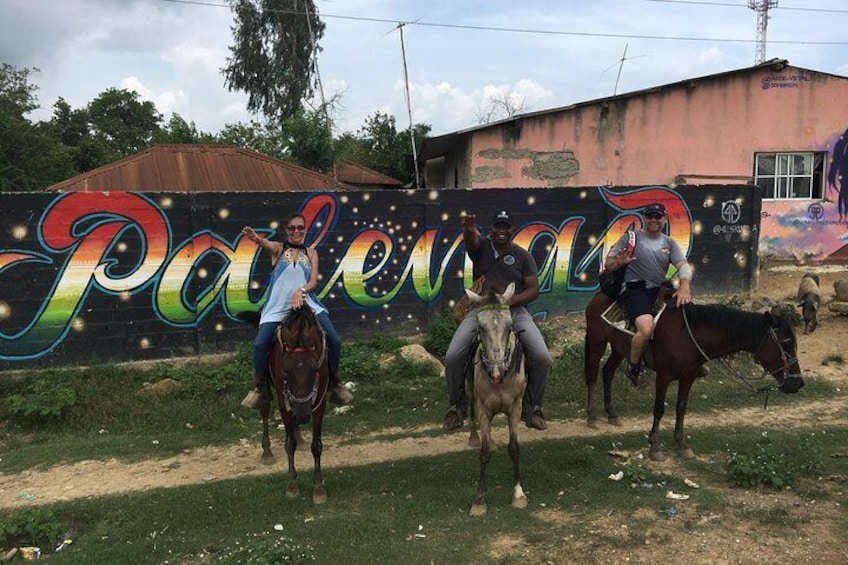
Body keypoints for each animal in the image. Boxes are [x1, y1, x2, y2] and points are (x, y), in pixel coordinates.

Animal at [262, 304, 332, 502]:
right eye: (286, 370)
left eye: (314, 369)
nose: (301, 415)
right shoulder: (284, 403)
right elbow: (289, 443)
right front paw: (292, 484)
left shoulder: (320, 402)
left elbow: (316, 445)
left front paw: (318, 487)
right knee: (264, 407)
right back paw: (266, 451)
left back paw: (300, 436)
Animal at [460, 282, 528, 516]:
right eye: (481, 327)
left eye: (509, 326)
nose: (497, 373)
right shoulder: (483, 409)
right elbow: (484, 453)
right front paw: (479, 500)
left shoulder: (516, 406)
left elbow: (514, 448)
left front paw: (518, 495)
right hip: (469, 392)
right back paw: (474, 437)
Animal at [588, 294, 804, 460]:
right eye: (786, 343)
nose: (798, 383)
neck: (687, 335)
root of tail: (598, 296)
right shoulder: (663, 376)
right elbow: (659, 410)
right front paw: (655, 446)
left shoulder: (688, 376)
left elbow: (681, 408)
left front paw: (682, 444)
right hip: (597, 344)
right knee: (592, 376)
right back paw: (591, 417)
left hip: (618, 350)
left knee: (607, 373)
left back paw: (612, 414)